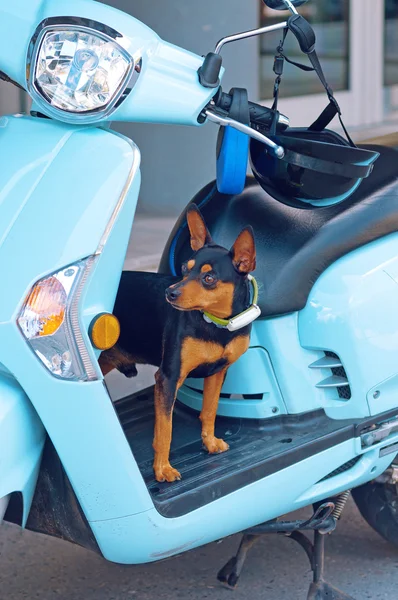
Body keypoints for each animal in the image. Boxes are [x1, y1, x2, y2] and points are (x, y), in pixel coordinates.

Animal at [99, 206, 255, 482]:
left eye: (209, 278)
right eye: (184, 268)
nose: (170, 293)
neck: (214, 324)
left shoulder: (218, 372)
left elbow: (210, 410)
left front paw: (210, 442)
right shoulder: (168, 378)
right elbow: (165, 429)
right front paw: (162, 469)